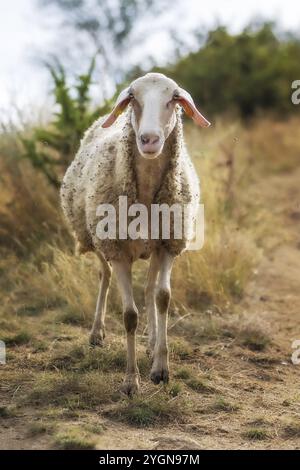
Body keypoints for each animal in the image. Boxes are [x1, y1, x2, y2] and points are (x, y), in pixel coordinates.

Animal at [60, 71, 211, 394]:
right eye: (133, 99)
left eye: (173, 99)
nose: (149, 139)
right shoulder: (117, 250)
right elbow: (129, 316)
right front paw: (131, 381)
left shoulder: (167, 245)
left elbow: (163, 297)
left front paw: (161, 368)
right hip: (95, 239)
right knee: (104, 276)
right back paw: (97, 333)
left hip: (151, 246)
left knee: (150, 290)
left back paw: (153, 342)